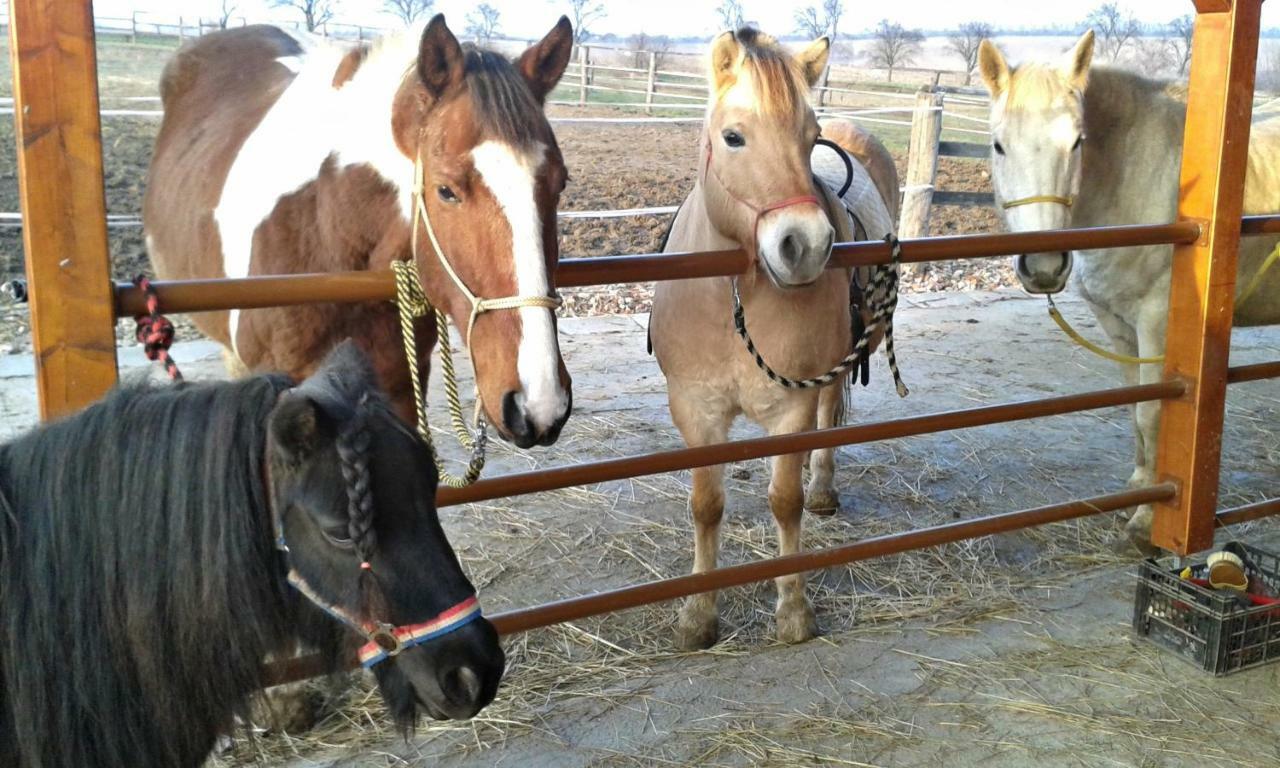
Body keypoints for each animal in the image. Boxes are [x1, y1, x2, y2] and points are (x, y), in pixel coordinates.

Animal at [650, 28, 901, 647]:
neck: (732, 301)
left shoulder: (791, 407)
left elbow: (785, 502)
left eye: (810, 139)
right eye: (733, 137)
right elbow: (706, 505)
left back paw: (823, 489)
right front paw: (699, 614)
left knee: (827, 425)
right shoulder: (696, 412)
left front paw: (792, 609)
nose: (804, 245)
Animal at [977, 28, 1280, 545]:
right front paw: (1139, 487)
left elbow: (1153, 412)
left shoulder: (1158, 325)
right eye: (999, 145)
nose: (1044, 268)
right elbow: (1134, 405)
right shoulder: (1118, 326)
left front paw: (1145, 521)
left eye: (1077, 142)